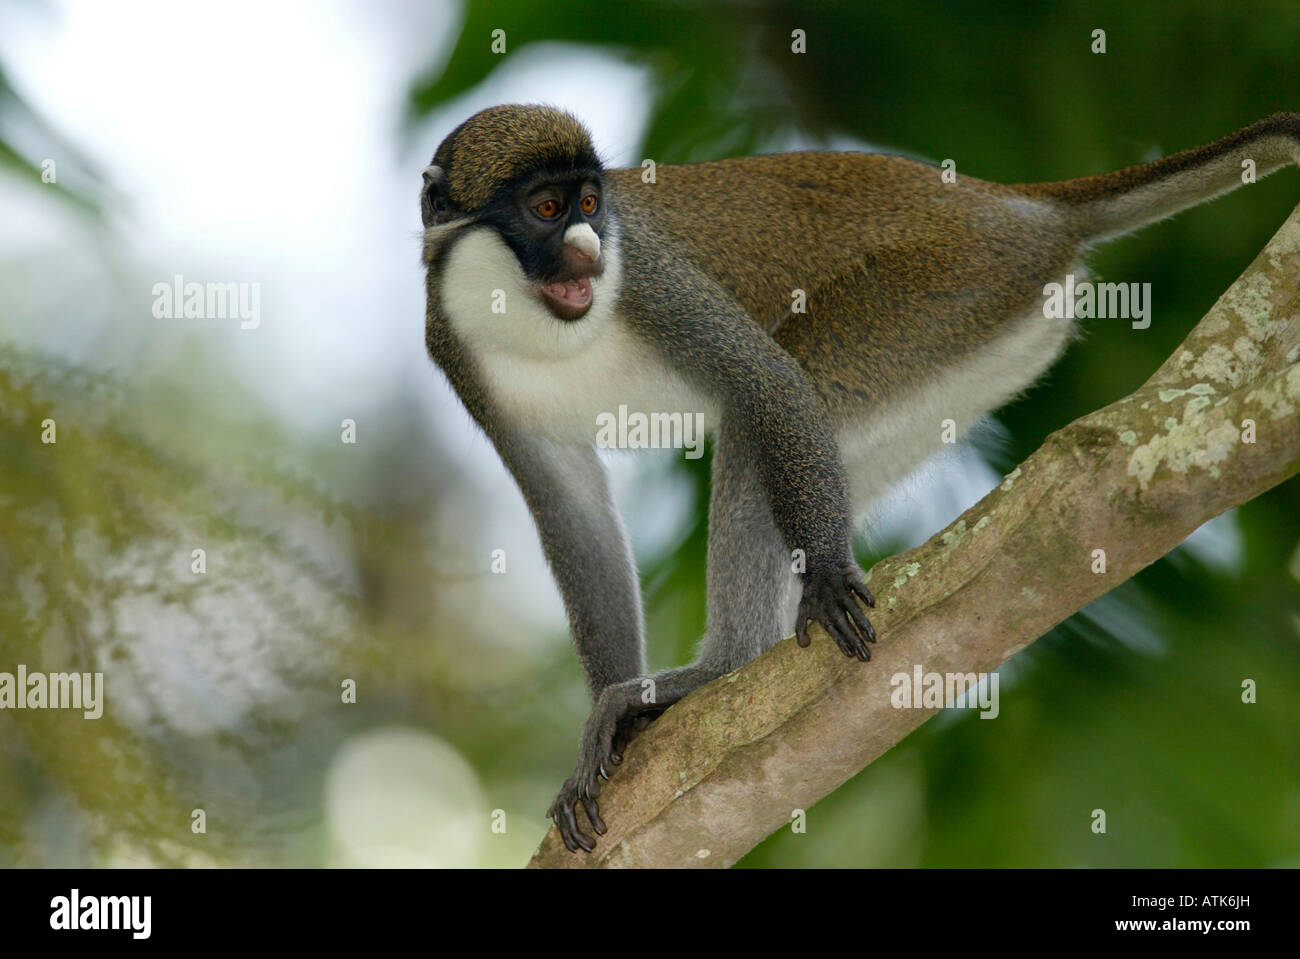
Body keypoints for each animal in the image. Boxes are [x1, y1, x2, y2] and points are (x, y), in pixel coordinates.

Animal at [421, 104, 1294, 847]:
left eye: (592, 202)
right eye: (545, 208)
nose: (590, 248)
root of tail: (1018, 206)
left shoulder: (654, 281)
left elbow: (766, 381)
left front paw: (827, 580)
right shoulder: (456, 351)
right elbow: (572, 516)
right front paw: (607, 733)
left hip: (946, 289)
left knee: (781, 395)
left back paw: (720, 668)